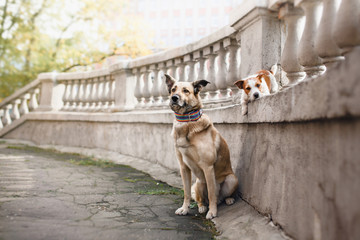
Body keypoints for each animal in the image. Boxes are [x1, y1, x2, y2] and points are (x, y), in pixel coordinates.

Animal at [165, 73, 239, 219]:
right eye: (173, 89)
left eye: (186, 91)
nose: (174, 97)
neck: (186, 122)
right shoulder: (184, 168)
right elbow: (186, 192)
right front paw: (184, 209)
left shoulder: (207, 166)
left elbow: (211, 194)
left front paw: (212, 212)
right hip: (198, 183)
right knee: (201, 199)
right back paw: (202, 207)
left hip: (231, 179)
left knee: (220, 196)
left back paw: (228, 200)